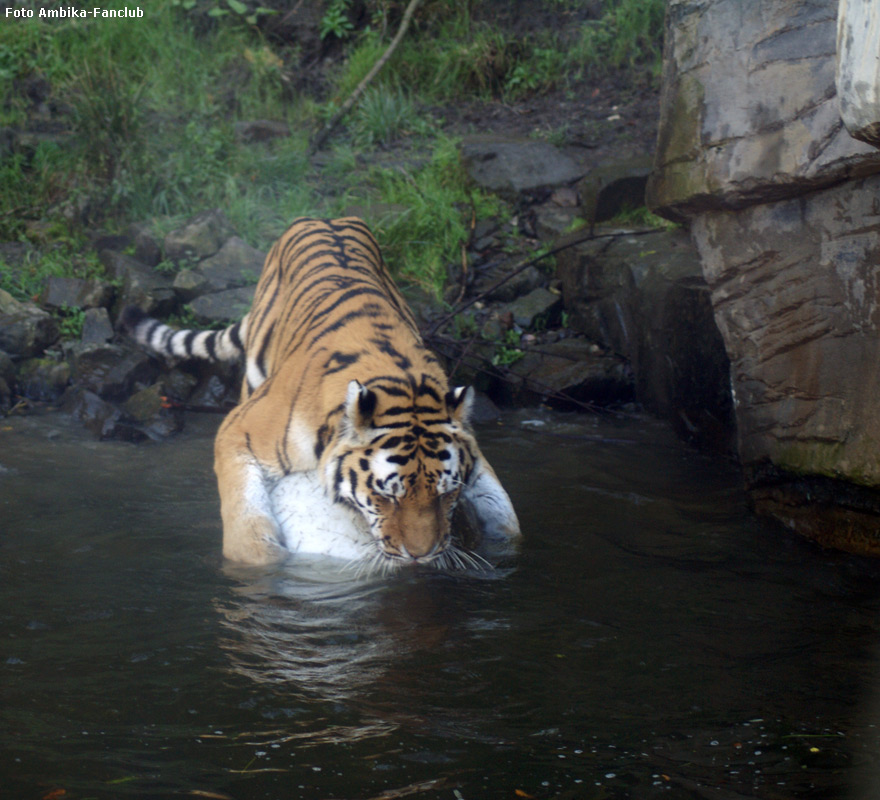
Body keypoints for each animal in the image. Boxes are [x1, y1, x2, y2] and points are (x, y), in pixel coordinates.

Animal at [124, 219, 524, 564]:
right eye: (386, 497)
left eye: (446, 494)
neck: (401, 380)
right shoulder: (238, 429)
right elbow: (247, 523)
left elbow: (503, 509)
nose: (421, 555)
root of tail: (323, 218)